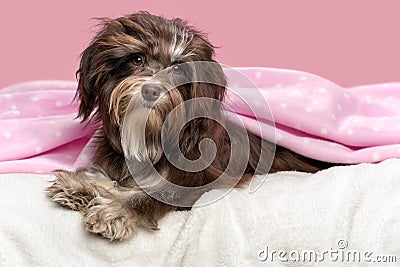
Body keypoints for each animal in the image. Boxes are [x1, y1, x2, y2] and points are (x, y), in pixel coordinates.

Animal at [47, 12, 334, 242]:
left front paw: (117, 210)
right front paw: (81, 185)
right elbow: (107, 175)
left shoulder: (199, 180)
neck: (152, 133)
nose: (151, 90)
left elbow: (151, 194)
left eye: (177, 68)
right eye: (137, 59)